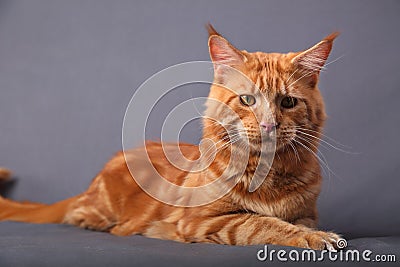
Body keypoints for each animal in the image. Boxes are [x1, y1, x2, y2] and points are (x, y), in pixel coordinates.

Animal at [1, 25, 342, 251]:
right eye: (247, 100)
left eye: (288, 102)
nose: (269, 124)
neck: (268, 174)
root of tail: (89, 186)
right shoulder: (205, 219)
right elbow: (260, 223)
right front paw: (313, 238)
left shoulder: (307, 213)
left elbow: (291, 222)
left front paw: (311, 233)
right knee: (79, 214)